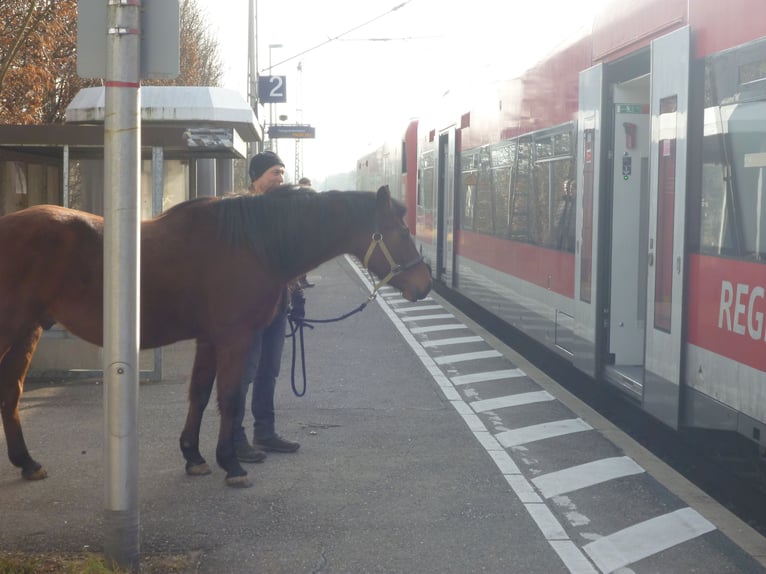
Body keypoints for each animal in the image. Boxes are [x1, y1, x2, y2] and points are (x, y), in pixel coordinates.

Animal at [0, 187, 432, 488]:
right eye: (399, 231)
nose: (425, 284)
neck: (254, 243)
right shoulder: (234, 338)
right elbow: (232, 398)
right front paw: (232, 463)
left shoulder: (208, 340)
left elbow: (201, 394)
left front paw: (193, 456)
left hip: (28, 330)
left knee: (12, 391)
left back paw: (28, 463)